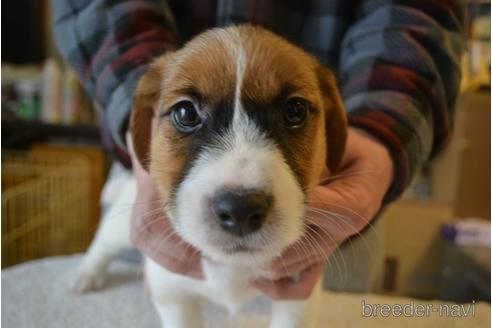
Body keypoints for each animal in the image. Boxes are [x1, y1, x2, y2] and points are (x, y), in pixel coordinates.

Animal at [69, 24, 348, 326]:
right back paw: (85, 273)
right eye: (186, 112)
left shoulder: (297, 300)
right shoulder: (173, 297)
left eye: (295, 110)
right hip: (123, 225)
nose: (240, 210)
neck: (231, 266)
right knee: (104, 240)